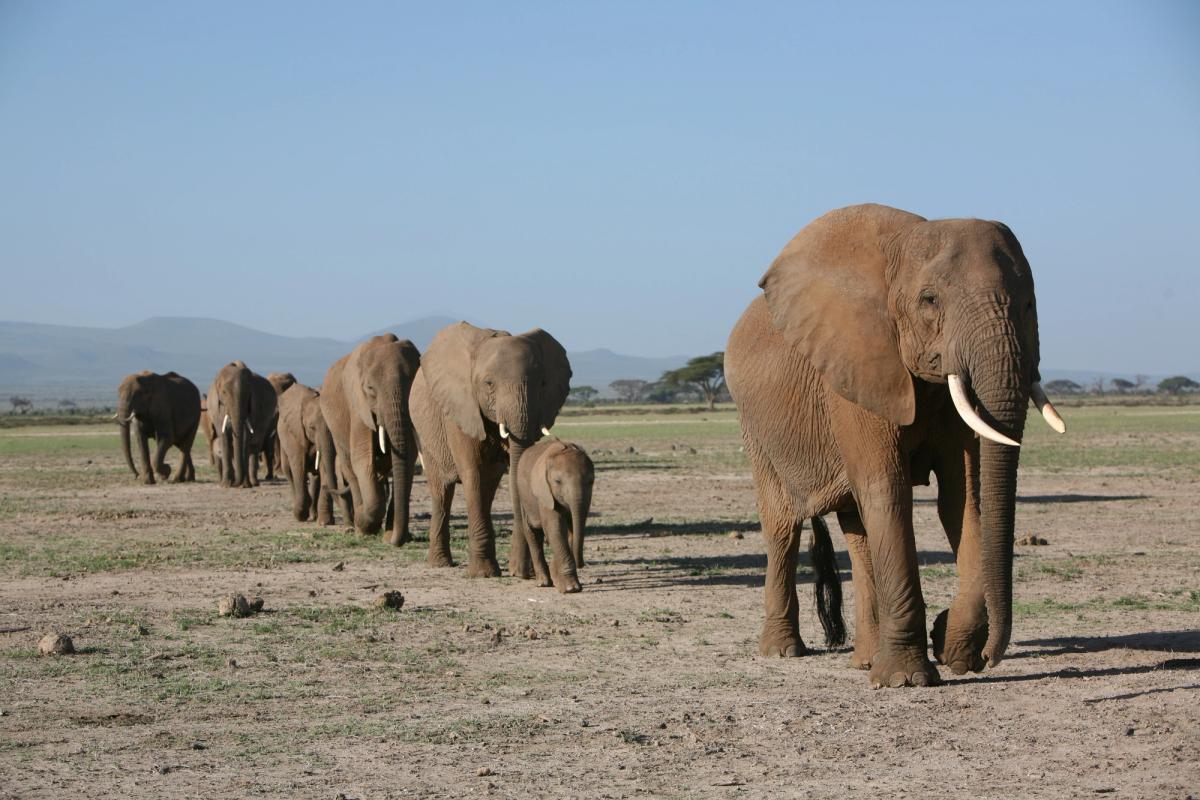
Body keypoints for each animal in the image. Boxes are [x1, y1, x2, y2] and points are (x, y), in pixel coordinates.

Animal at [320, 334, 420, 546]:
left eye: (413, 385)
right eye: (371, 389)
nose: (394, 542)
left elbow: (408, 460)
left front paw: (391, 535)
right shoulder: (358, 406)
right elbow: (362, 460)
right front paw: (366, 526)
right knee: (351, 470)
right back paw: (360, 527)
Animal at [410, 321, 571, 578]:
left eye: (543, 384)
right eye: (489, 384)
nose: (521, 573)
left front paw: (519, 571)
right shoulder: (461, 407)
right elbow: (472, 473)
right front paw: (482, 574)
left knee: (489, 487)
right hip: (425, 435)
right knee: (442, 492)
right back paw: (440, 564)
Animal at [514, 437, 594, 593]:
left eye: (591, 481)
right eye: (557, 481)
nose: (581, 564)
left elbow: (571, 528)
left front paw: (560, 580)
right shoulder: (544, 493)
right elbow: (555, 528)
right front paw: (571, 588)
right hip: (523, 496)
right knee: (532, 533)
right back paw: (543, 582)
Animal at [725, 203, 1066, 689]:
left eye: (1029, 304)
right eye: (929, 300)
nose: (990, 656)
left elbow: (964, 498)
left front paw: (953, 649)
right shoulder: (855, 371)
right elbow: (889, 492)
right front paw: (907, 679)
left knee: (856, 529)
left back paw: (865, 660)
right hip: (755, 428)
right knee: (783, 526)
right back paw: (783, 651)